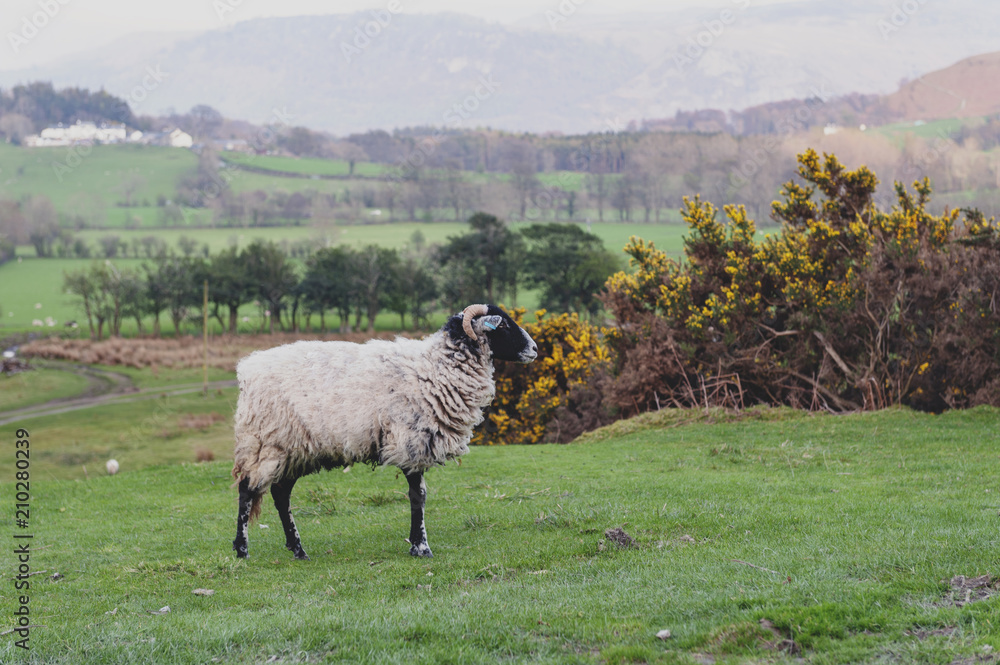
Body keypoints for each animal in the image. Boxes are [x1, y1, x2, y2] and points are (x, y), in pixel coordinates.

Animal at [231, 303, 538, 560]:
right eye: (503, 324)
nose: (535, 349)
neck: (437, 368)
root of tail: (247, 369)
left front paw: (416, 544)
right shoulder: (411, 441)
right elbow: (418, 496)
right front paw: (421, 547)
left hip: (296, 449)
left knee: (281, 494)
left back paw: (298, 550)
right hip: (265, 442)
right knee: (247, 490)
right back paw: (242, 549)